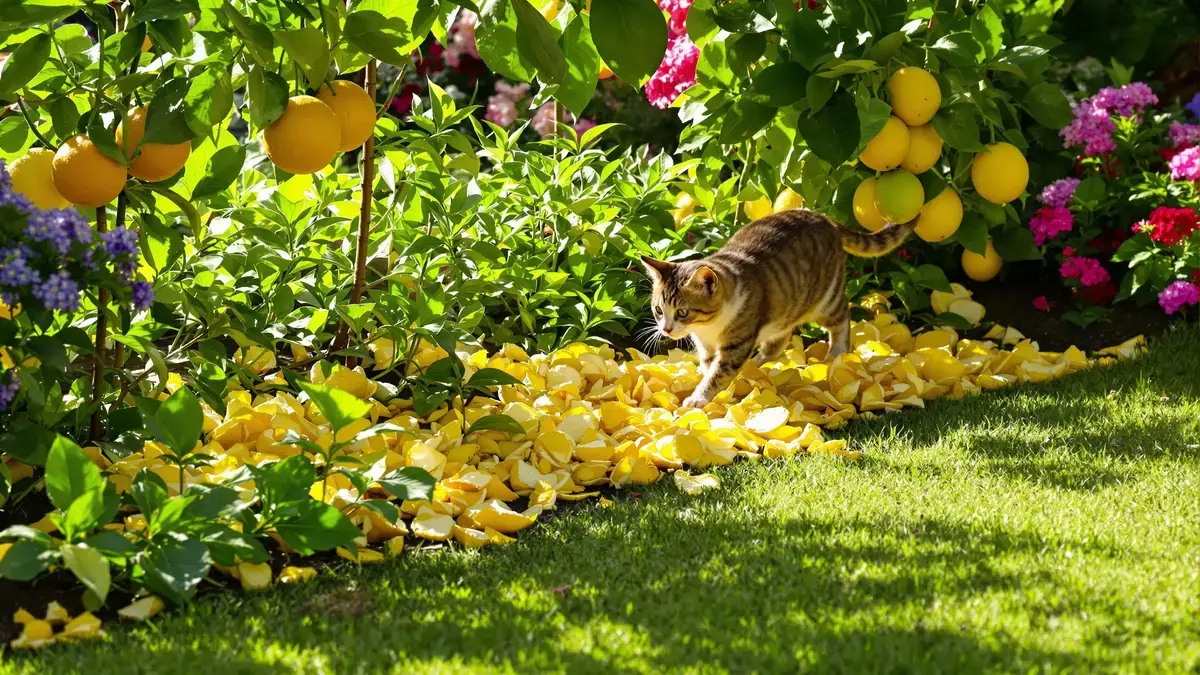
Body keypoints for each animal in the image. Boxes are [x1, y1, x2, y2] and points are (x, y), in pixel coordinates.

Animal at [643, 206, 912, 403]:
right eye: (658, 310)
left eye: (682, 312)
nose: (666, 329)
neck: (708, 327)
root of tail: (825, 218)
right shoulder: (706, 345)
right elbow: (710, 366)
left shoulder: (738, 341)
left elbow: (719, 372)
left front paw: (698, 398)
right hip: (786, 308)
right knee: (779, 341)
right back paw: (756, 362)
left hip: (826, 299)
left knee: (842, 316)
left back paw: (836, 351)